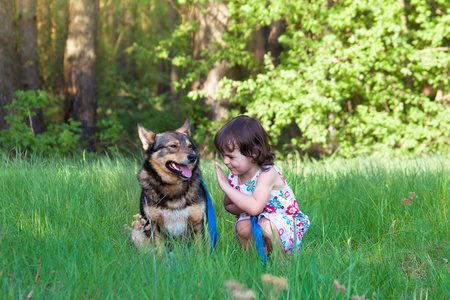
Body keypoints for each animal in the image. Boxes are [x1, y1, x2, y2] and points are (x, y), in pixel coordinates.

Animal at [130, 118, 207, 252]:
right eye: (173, 146)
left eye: (190, 146)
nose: (193, 157)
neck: (174, 184)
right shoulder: (155, 225)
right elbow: (160, 251)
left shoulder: (197, 222)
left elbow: (200, 251)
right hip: (136, 232)